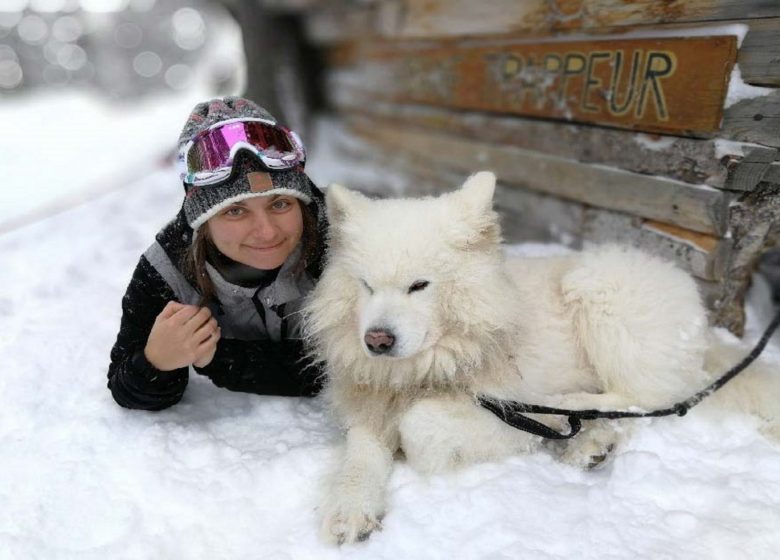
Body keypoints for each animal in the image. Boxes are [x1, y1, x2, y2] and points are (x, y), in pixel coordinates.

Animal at [300, 173, 780, 544]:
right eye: (365, 285)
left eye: (419, 285)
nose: (377, 340)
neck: (429, 369)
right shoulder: (370, 414)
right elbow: (360, 457)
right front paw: (349, 508)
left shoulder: (496, 407)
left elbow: (421, 425)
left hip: (597, 290)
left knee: (649, 400)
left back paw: (577, 422)